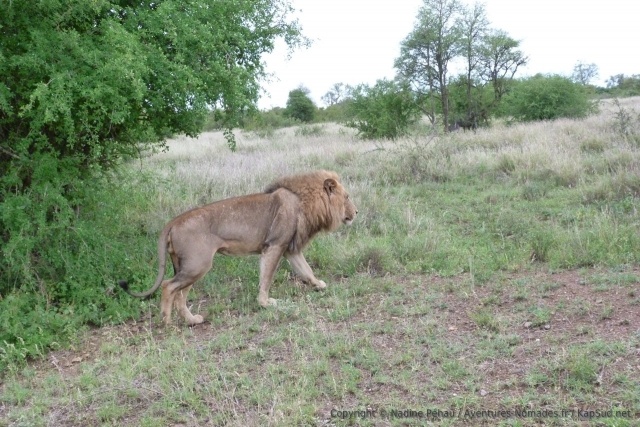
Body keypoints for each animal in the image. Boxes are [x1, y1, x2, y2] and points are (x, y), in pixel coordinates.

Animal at [119, 170, 357, 325]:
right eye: (347, 197)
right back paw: (167, 321)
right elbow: (267, 277)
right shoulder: (274, 245)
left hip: (189, 266)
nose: (356, 212)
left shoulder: (290, 248)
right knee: (168, 286)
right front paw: (265, 303)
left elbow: (306, 270)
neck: (306, 201)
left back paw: (192, 320)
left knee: (180, 294)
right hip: (198, 264)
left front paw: (319, 285)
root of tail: (174, 221)